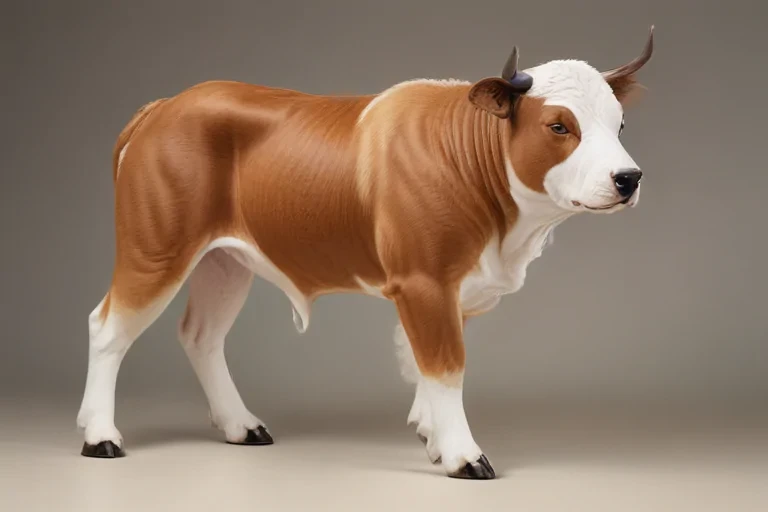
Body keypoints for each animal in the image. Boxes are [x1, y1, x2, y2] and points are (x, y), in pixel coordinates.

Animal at [76, 26, 655, 480]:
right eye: (558, 126)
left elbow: (423, 364)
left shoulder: (451, 291)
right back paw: (100, 435)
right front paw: (463, 454)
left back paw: (241, 426)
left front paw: (431, 435)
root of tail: (166, 105)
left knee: (201, 336)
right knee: (107, 327)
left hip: (225, 261)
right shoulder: (423, 282)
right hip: (155, 248)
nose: (628, 178)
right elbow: (446, 365)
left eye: (620, 125)